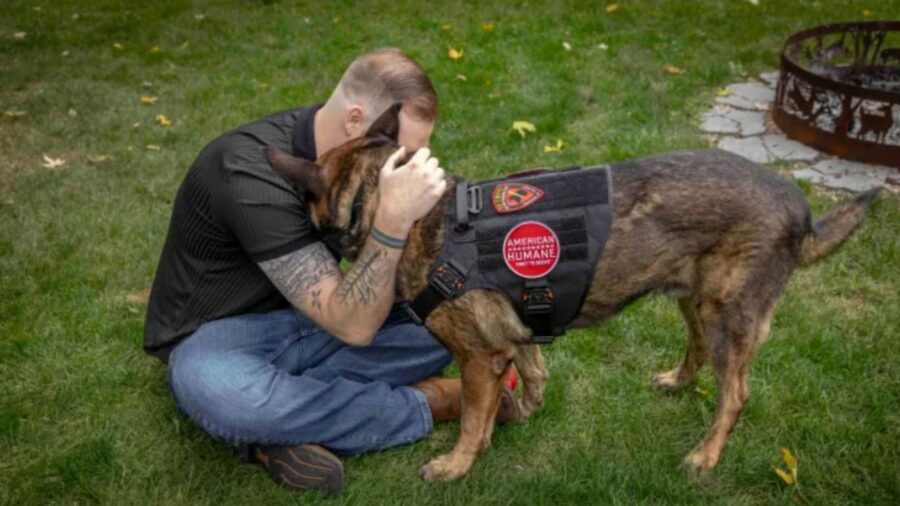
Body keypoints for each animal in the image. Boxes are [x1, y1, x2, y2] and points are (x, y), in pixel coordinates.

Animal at [264, 105, 884, 480]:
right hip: (694, 299)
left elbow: (471, 421)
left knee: (735, 394)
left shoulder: (479, 357)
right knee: (699, 351)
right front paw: (522, 409)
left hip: (727, 313)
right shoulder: (515, 334)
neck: (410, 213)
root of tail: (800, 208)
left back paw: (705, 456)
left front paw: (457, 464)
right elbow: (532, 369)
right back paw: (677, 380)